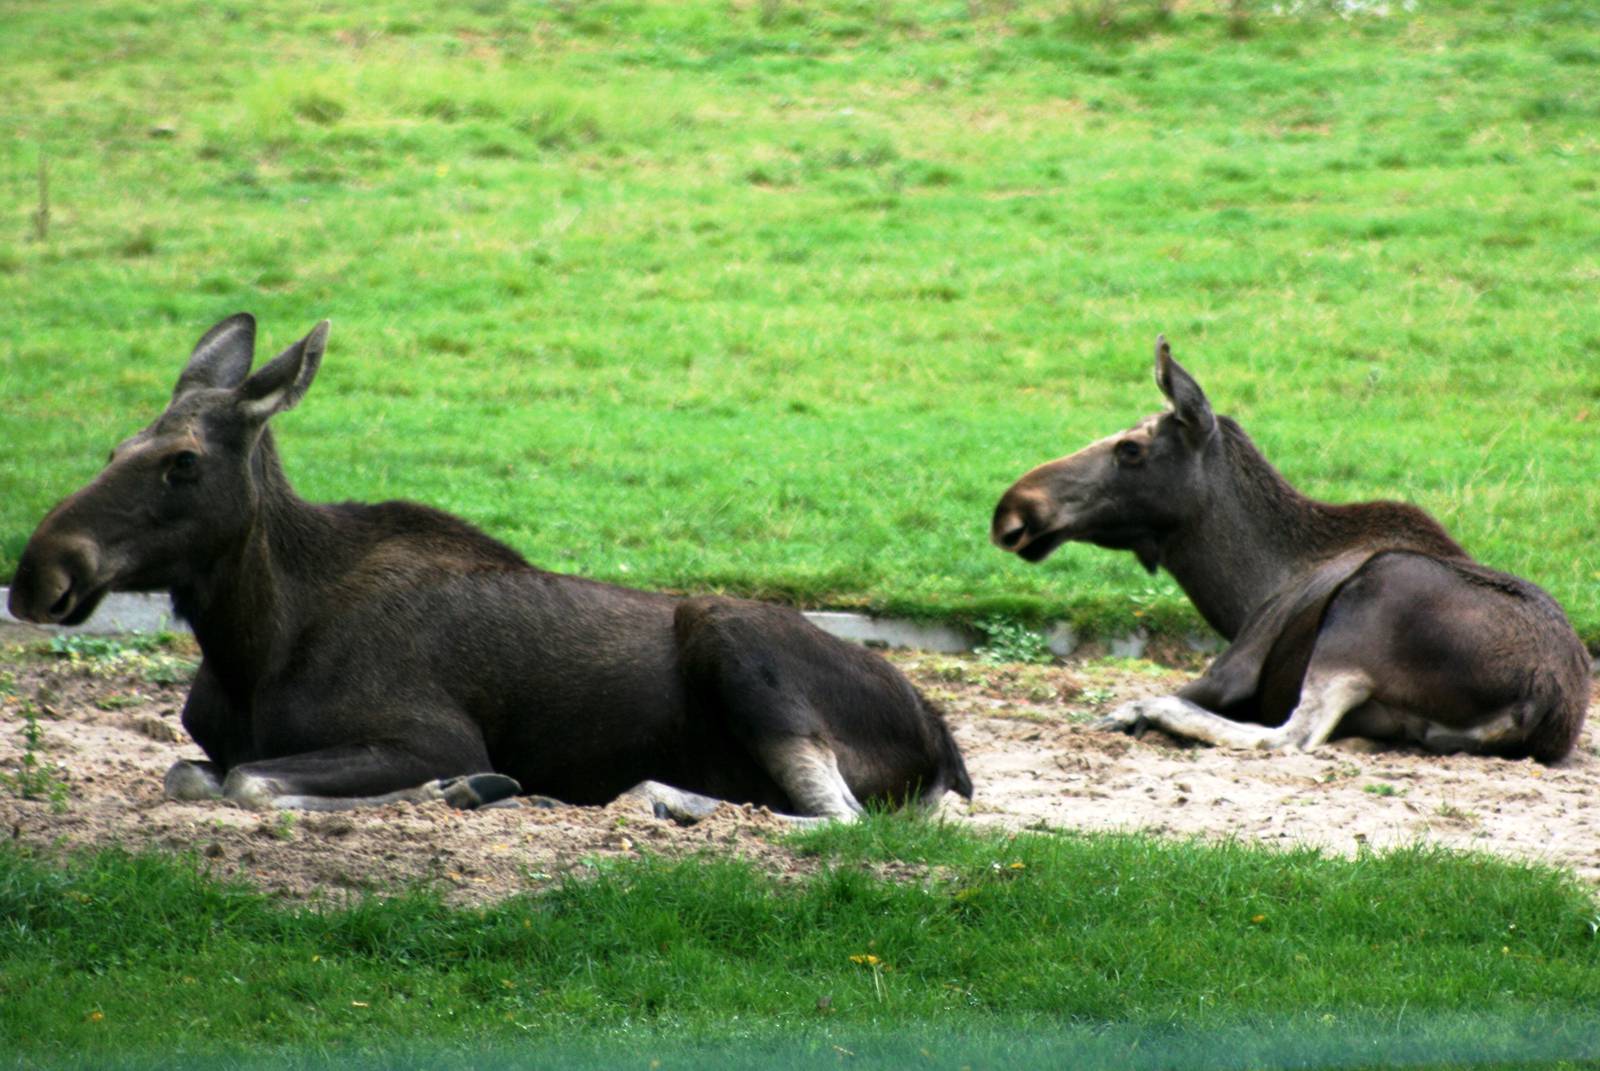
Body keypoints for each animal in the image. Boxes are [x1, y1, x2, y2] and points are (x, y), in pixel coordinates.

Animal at [9, 313, 973, 815]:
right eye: (114, 448)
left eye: (182, 462)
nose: (38, 573)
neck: (252, 641)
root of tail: (947, 745)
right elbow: (192, 768)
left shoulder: (430, 730)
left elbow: (248, 780)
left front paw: (455, 785)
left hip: (731, 630)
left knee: (842, 821)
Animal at [991, 337, 1589, 763]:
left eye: (1131, 448)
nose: (1012, 511)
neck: (1250, 589)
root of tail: (1538, 700)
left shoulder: (1234, 666)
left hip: (1371, 602)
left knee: (1289, 736)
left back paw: (1145, 709)